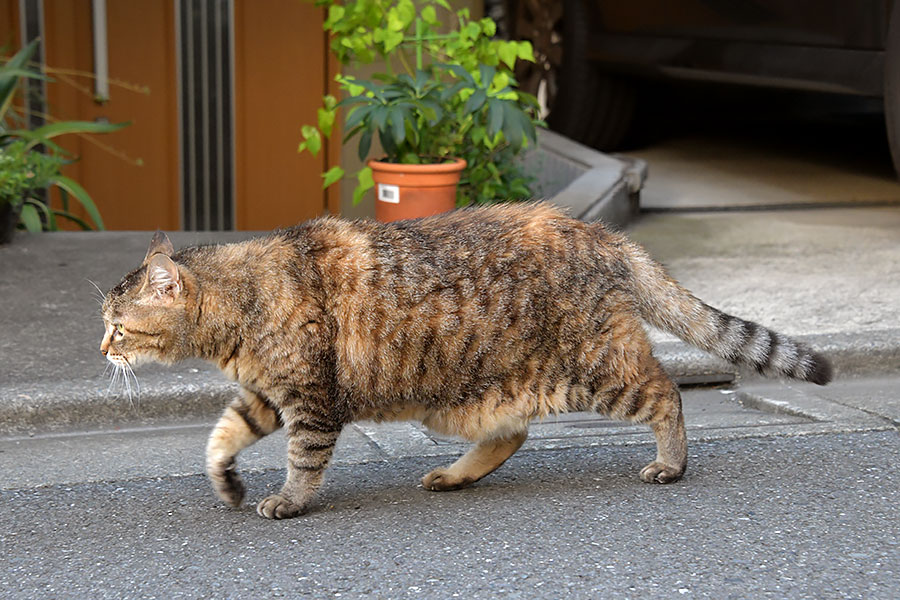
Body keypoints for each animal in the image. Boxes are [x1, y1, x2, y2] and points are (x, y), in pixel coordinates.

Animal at [98, 204, 828, 516]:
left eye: (117, 325)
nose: (100, 348)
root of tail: (602, 233)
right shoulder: (265, 396)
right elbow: (220, 437)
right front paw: (227, 482)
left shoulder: (309, 400)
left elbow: (303, 462)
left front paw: (288, 501)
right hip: (470, 394)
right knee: (512, 432)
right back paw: (454, 476)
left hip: (597, 366)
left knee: (666, 393)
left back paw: (671, 463)